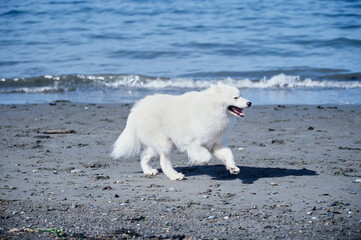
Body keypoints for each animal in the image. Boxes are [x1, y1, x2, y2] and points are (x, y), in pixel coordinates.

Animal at [110, 82, 250, 180]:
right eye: (235, 97)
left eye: (241, 96)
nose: (250, 103)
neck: (212, 109)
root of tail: (136, 109)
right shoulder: (192, 143)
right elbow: (206, 156)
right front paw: (198, 161)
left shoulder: (217, 143)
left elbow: (228, 154)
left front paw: (233, 168)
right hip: (164, 143)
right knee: (164, 162)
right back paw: (175, 176)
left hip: (157, 144)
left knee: (144, 155)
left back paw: (149, 171)